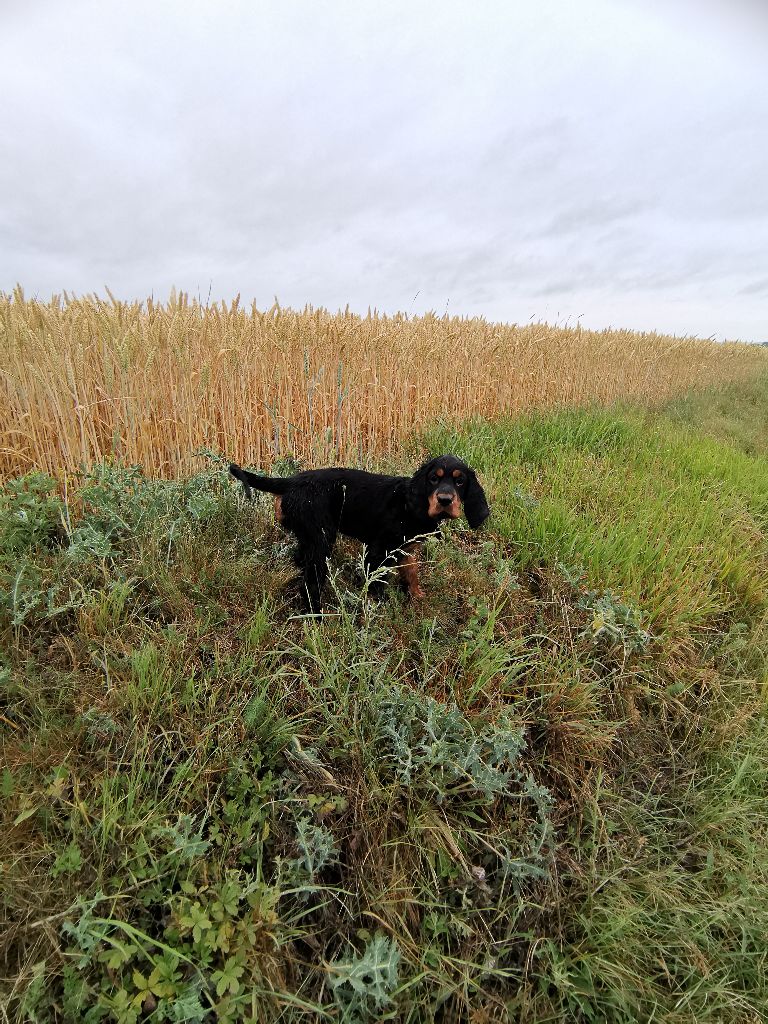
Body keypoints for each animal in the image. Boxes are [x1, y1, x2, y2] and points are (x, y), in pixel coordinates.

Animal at [231, 454, 489, 606]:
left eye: (460, 481)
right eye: (434, 479)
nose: (445, 500)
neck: (413, 505)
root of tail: (291, 481)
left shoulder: (406, 549)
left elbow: (411, 573)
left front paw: (416, 596)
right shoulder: (378, 549)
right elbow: (377, 580)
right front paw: (381, 605)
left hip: (309, 535)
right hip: (321, 539)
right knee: (312, 581)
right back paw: (316, 615)